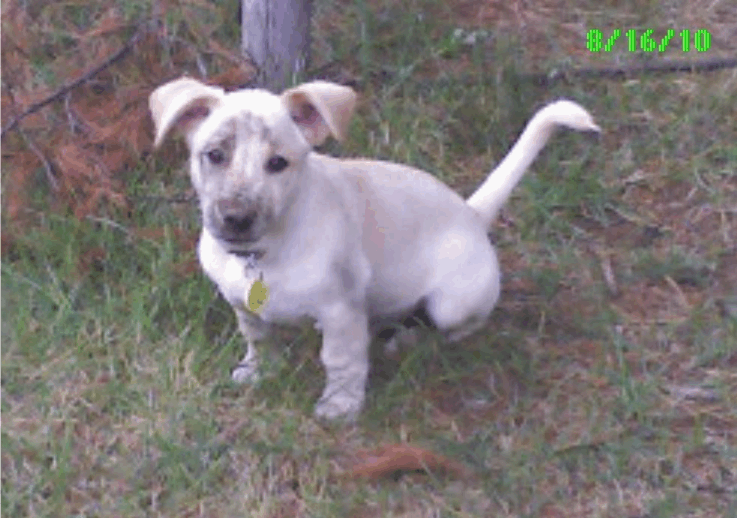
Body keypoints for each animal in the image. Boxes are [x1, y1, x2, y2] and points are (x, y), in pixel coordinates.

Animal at [150, 78, 600, 422]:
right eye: (214, 155)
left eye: (278, 163)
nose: (235, 219)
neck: (266, 252)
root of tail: (472, 213)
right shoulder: (243, 304)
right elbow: (258, 338)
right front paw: (258, 372)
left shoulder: (340, 310)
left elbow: (341, 361)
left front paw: (340, 406)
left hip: (452, 304)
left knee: (457, 329)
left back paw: (406, 341)